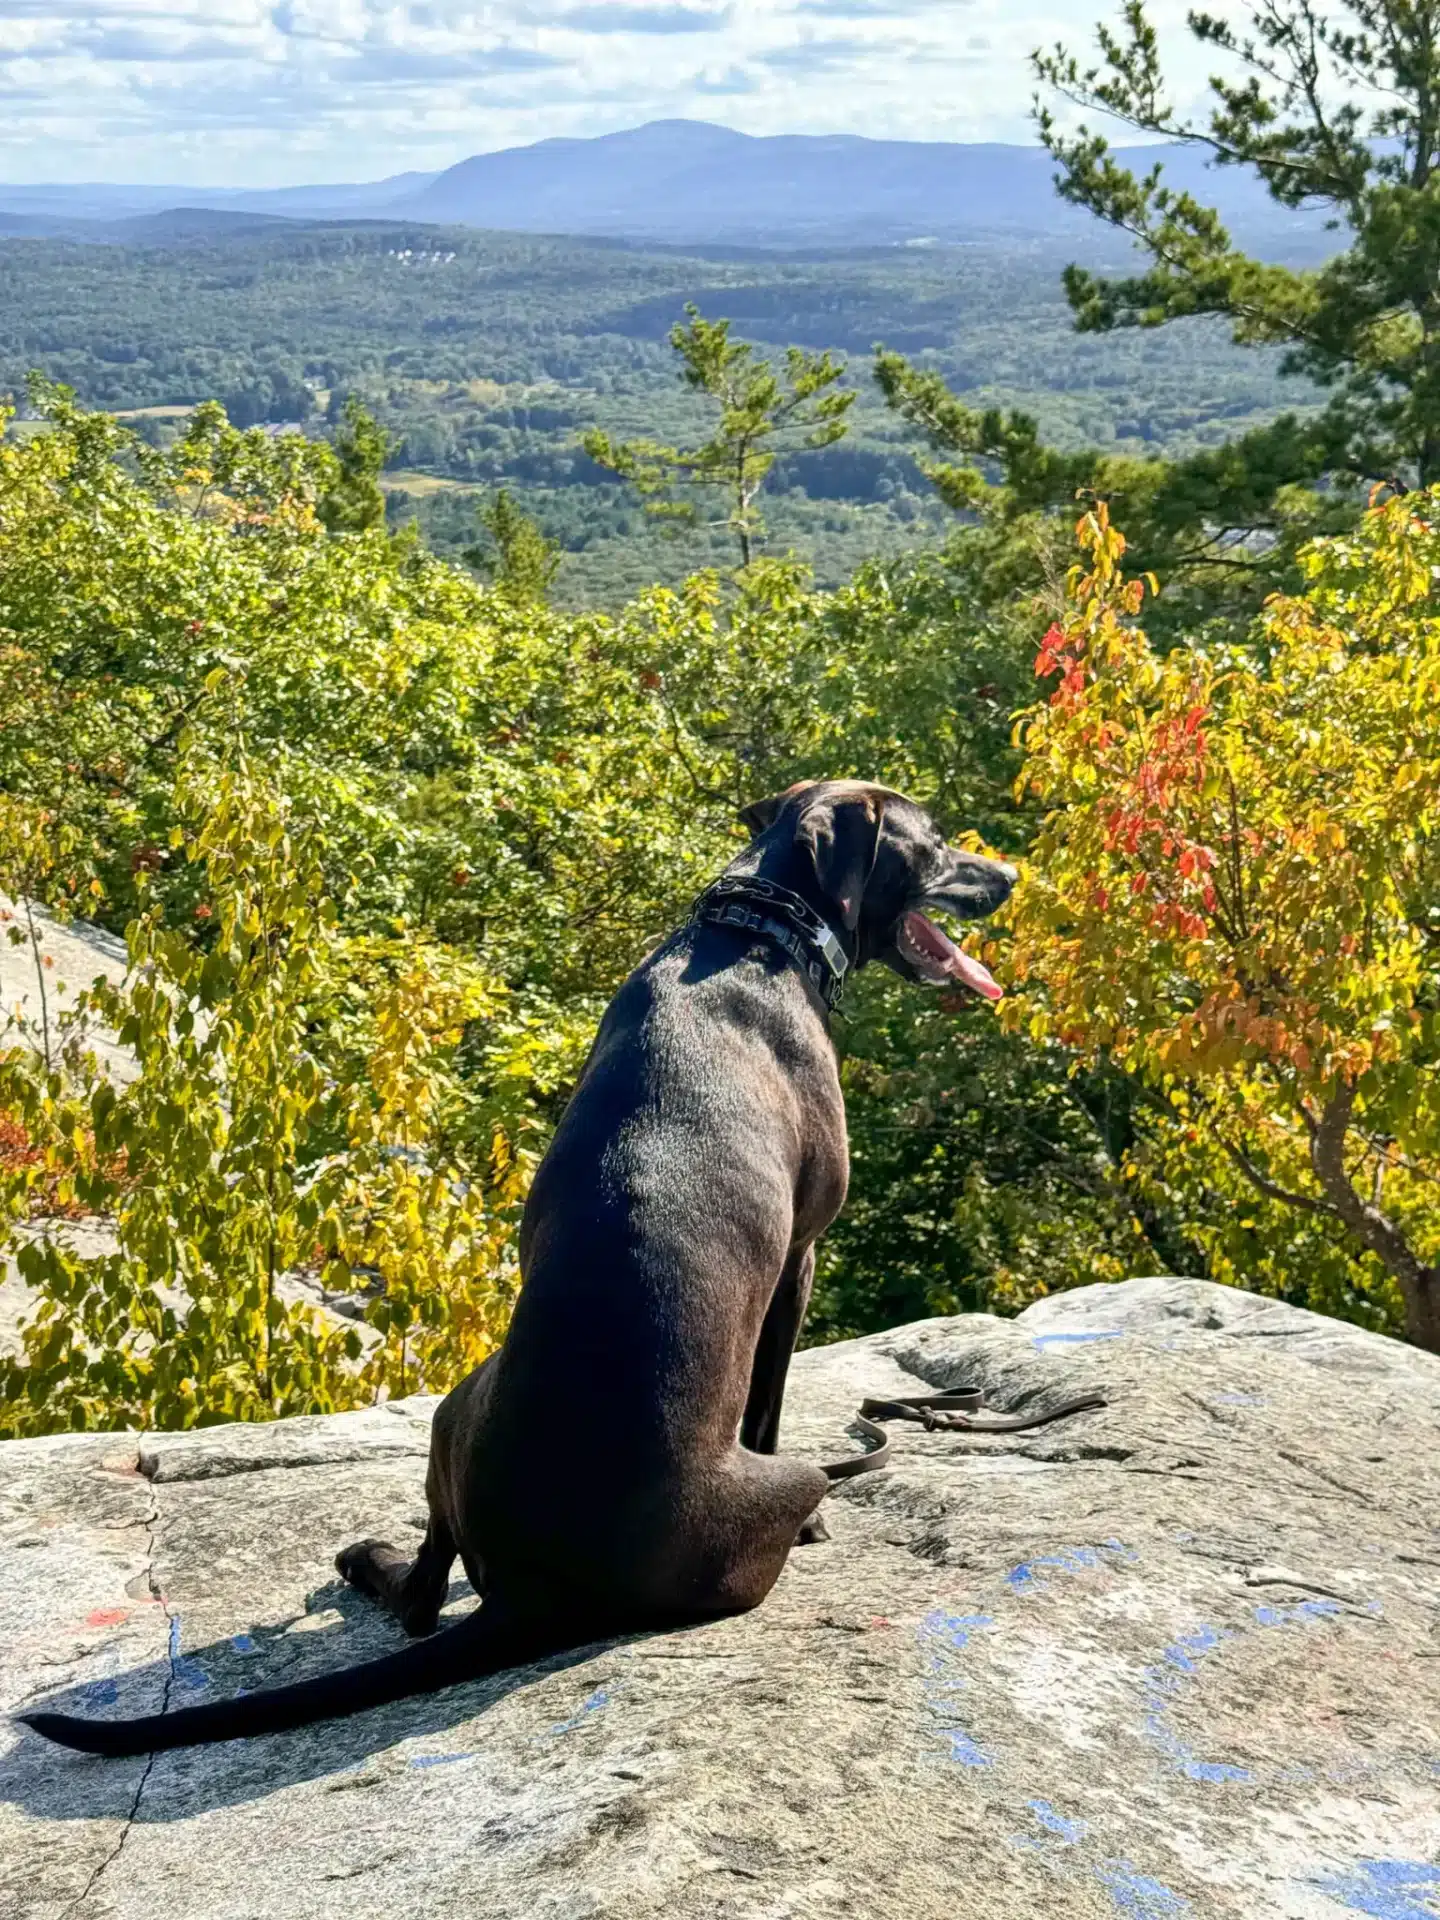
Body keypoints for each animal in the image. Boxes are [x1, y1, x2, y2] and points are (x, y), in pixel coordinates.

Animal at [22, 779, 1013, 1758]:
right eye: (931, 842)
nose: (1007, 874)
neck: (754, 933)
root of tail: (545, 1587)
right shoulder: (800, 1258)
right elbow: (768, 1405)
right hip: (650, 1443)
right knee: (424, 1600)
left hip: (452, 1413)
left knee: (429, 1585)